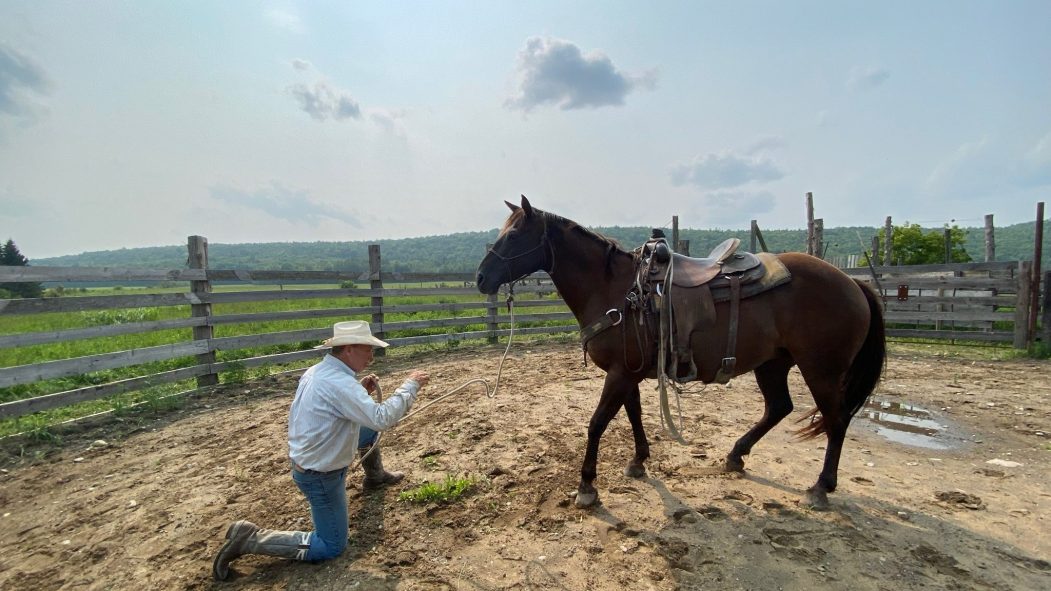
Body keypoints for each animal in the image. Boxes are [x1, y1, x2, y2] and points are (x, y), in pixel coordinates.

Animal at [479, 195, 887, 508]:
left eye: (513, 234)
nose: (482, 277)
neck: (615, 289)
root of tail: (854, 283)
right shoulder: (628, 371)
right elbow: (633, 415)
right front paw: (638, 461)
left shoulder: (619, 374)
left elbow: (597, 423)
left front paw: (587, 486)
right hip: (773, 363)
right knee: (778, 408)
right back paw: (736, 455)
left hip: (821, 369)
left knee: (836, 420)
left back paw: (820, 487)